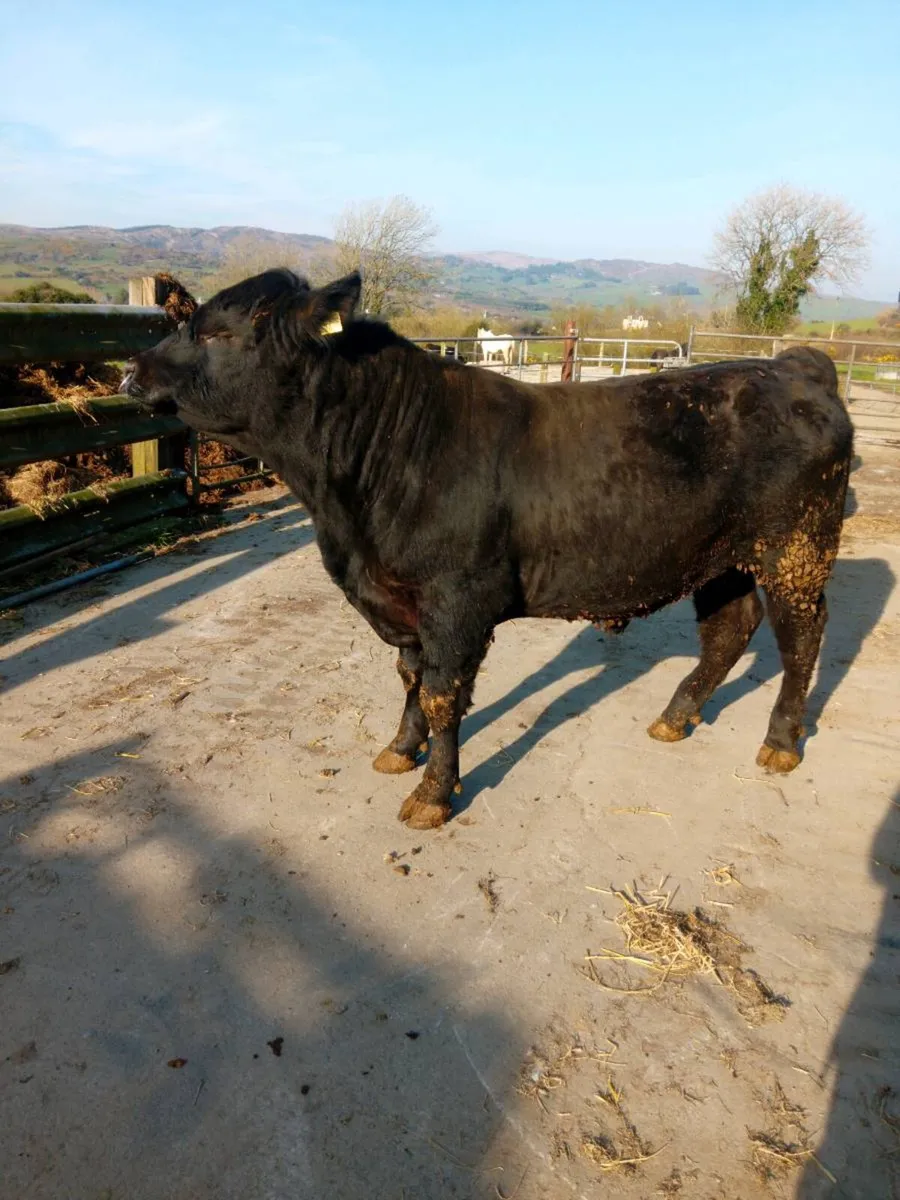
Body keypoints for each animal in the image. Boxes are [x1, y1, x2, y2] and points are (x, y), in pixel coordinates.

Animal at [122, 268, 853, 830]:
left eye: (217, 332)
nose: (132, 372)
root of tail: (794, 367)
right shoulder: (404, 600)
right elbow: (411, 678)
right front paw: (400, 749)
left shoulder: (456, 599)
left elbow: (444, 695)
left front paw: (432, 794)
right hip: (719, 558)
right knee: (730, 629)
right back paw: (675, 717)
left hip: (796, 552)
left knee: (803, 638)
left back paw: (781, 741)